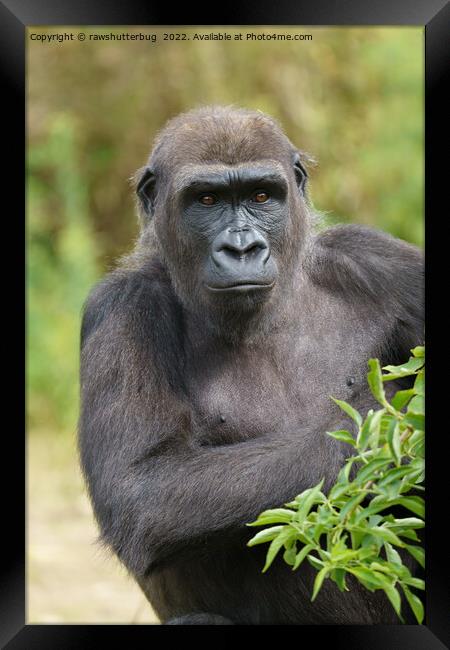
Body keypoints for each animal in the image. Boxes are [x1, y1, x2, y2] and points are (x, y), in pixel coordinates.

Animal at [79, 106, 424, 624]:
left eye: (262, 195)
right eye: (207, 199)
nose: (242, 248)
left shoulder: (380, 261)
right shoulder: (121, 308)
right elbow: (141, 485)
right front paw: (390, 424)